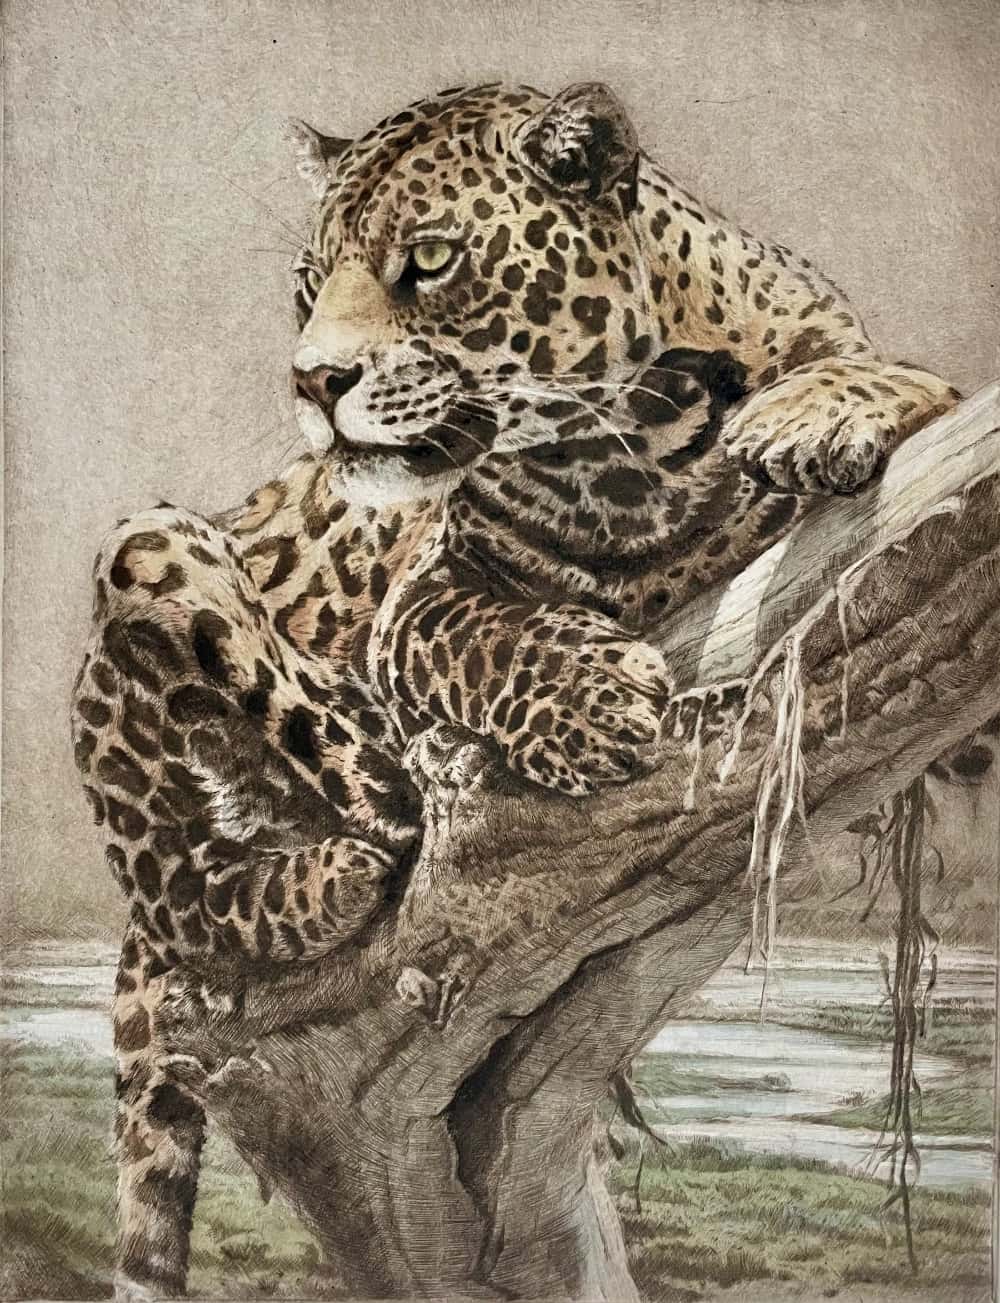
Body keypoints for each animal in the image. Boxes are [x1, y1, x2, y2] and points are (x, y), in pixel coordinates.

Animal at [70, 81, 957, 1299]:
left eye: (430, 260)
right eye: (309, 283)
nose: (313, 381)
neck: (614, 452)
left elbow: (899, 376)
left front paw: (810, 411)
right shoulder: (422, 598)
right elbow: (473, 635)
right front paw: (589, 700)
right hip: (146, 551)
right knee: (195, 879)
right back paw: (346, 844)